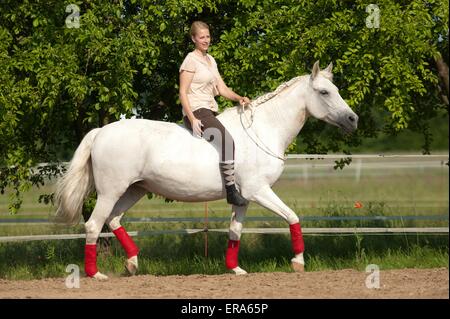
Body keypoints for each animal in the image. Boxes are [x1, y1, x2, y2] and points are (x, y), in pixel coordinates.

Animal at [55, 60, 358, 280]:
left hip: (134, 190)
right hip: (110, 191)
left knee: (114, 220)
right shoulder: (259, 191)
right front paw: (298, 262)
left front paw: (235, 269)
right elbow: (293, 217)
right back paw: (95, 275)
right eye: (324, 92)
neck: (263, 129)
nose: (352, 119)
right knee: (94, 225)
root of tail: (101, 131)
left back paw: (132, 263)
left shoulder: (243, 199)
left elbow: (235, 232)